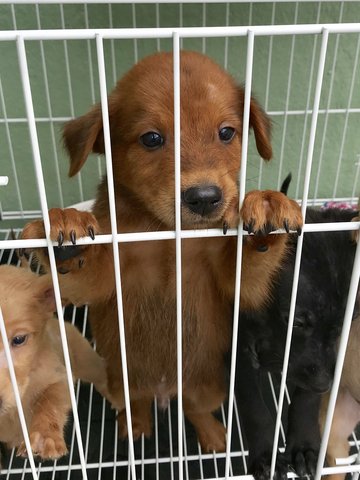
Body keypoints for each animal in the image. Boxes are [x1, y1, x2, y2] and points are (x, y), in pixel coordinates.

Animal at [21, 50, 304, 452]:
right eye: (152, 139)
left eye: (226, 133)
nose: (205, 198)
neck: (166, 232)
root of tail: (164, 391)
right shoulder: (105, 276)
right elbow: (83, 271)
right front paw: (63, 226)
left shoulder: (232, 277)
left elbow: (247, 268)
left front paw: (265, 206)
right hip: (120, 384)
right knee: (136, 404)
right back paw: (136, 424)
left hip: (208, 387)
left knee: (194, 409)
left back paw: (213, 434)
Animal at [236, 204, 358, 480]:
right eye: (296, 321)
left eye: (349, 319)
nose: (325, 385)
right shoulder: (236, 352)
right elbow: (253, 406)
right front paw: (266, 457)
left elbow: (306, 400)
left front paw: (303, 447)